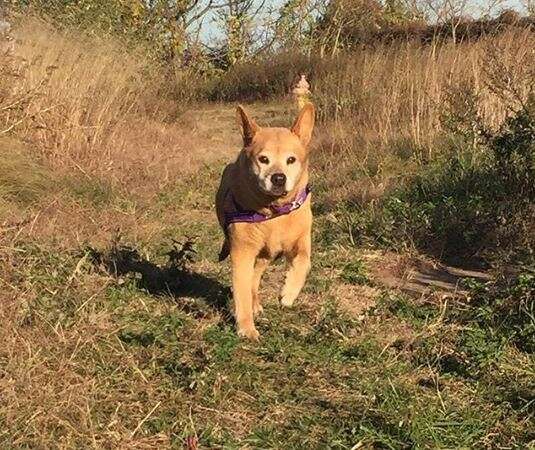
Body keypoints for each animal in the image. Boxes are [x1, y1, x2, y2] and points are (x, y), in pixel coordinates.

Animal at [215, 103, 316, 340]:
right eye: (263, 159)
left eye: (291, 159)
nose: (278, 178)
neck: (273, 212)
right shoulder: (242, 253)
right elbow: (241, 292)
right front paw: (246, 328)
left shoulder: (301, 240)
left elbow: (304, 261)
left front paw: (288, 292)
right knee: (250, 282)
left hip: (265, 257)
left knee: (256, 278)